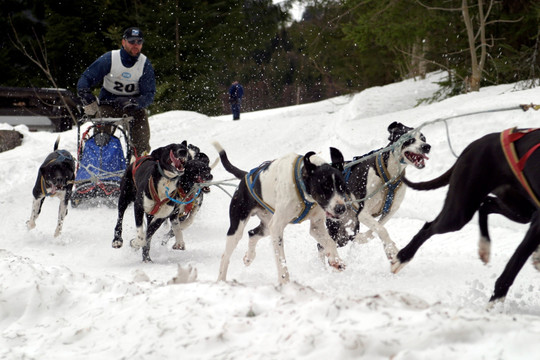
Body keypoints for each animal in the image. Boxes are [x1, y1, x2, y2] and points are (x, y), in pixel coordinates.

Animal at [215, 142, 350, 286]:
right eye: (325, 188)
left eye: (342, 187)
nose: (341, 208)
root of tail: (246, 176)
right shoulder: (277, 228)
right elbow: (281, 260)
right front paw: (285, 283)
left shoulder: (316, 227)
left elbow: (330, 242)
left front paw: (336, 260)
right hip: (238, 227)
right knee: (225, 255)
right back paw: (221, 280)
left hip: (267, 226)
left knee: (252, 233)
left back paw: (249, 257)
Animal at [392, 128, 540, 306]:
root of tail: (472, 146)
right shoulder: (538, 223)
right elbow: (513, 266)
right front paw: (494, 304)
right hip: (459, 213)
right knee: (429, 227)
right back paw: (402, 258)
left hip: (522, 210)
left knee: (486, 204)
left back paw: (485, 246)